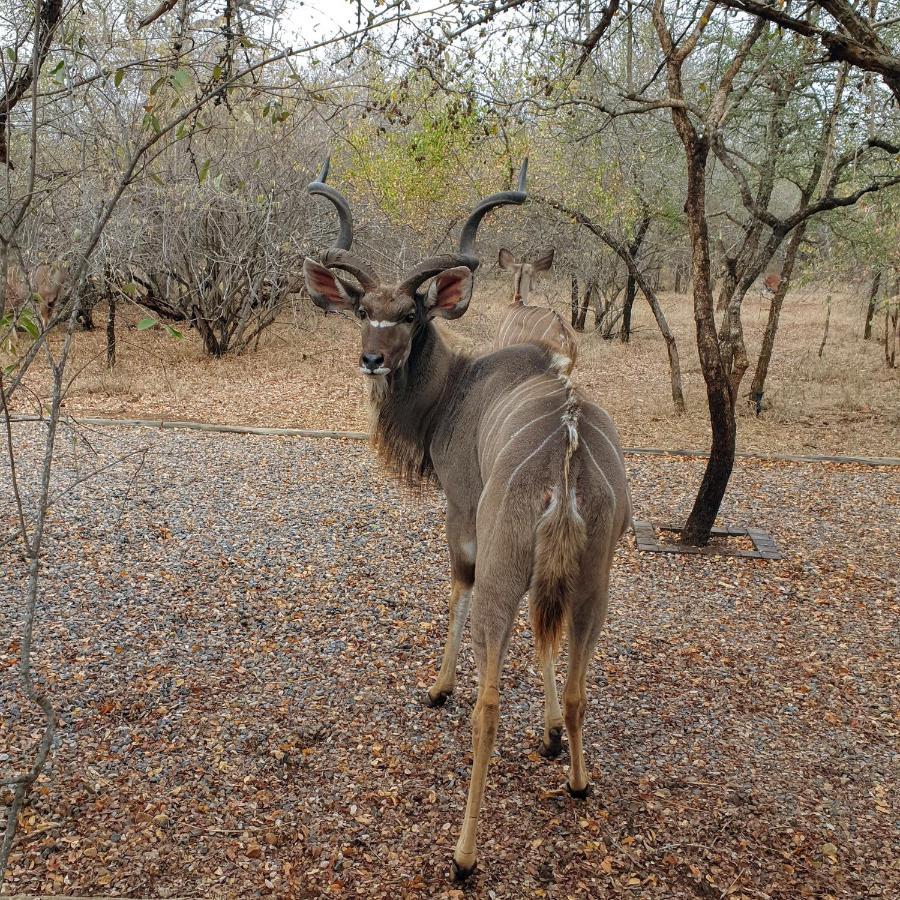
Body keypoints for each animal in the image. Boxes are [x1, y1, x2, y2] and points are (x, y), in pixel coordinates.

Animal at [306, 158, 628, 876]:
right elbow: (548, 647)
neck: (456, 389)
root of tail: (567, 460)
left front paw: (437, 685)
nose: (372, 358)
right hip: (594, 584)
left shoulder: (461, 510)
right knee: (579, 685)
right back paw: (578, 779)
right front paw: (548, 736)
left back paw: (463, 854)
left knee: (489, 706)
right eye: (363, 311)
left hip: (506, 576)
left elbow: (455, 583)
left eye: (408, 314)